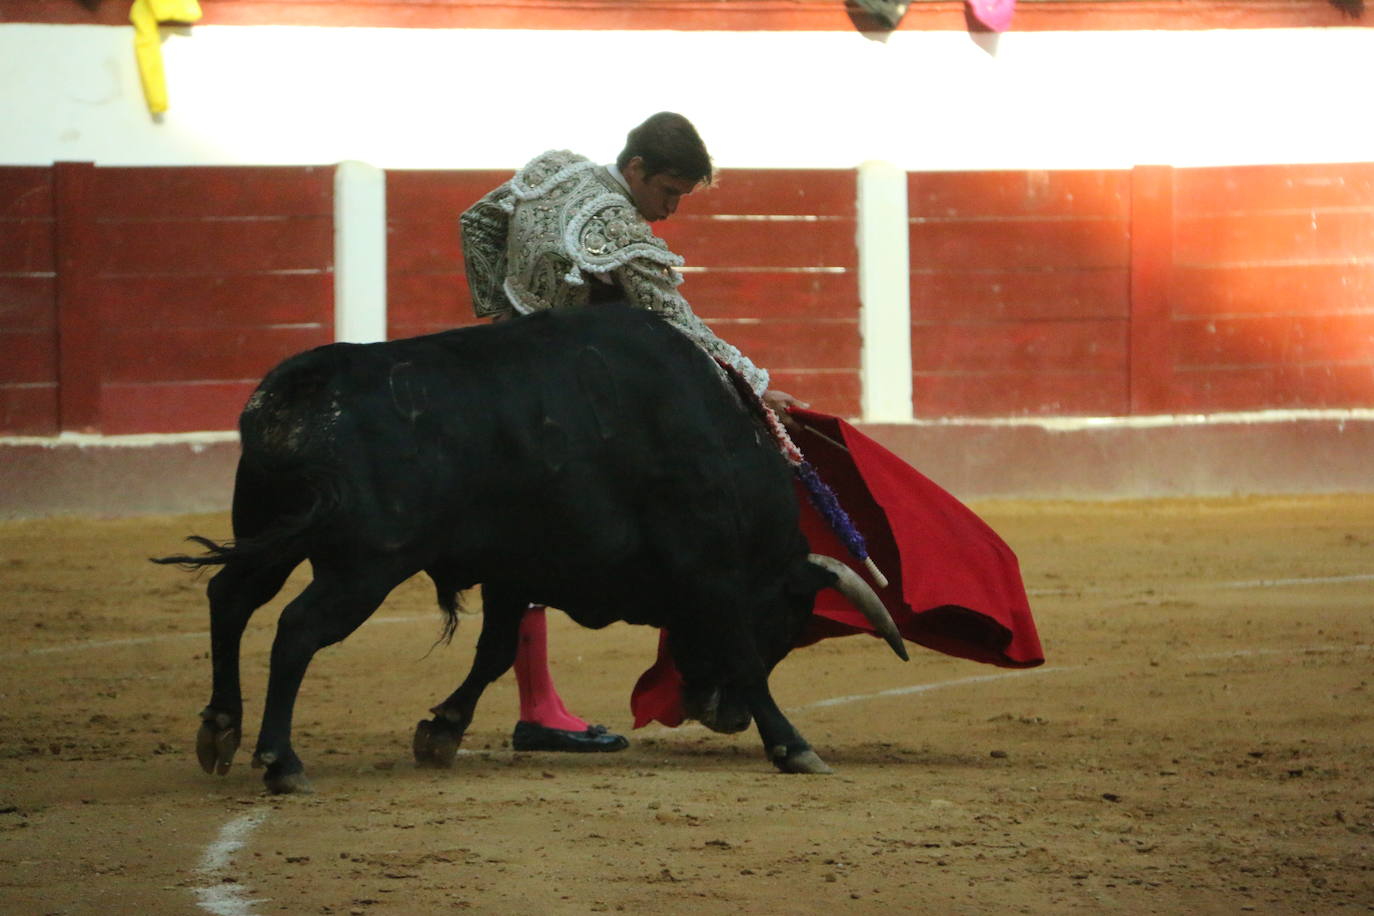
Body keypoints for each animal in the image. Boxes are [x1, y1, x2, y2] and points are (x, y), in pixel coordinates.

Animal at [155, 307, 906, 796]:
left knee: (231, 599)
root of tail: (298, 389)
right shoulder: (712, 571)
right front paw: (793, 747)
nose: (724, 717)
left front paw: (442, 732)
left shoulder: (514, 570)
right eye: (786, 624)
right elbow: (745, 658)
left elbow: (493, 652)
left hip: (272, 532)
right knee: (296, 629)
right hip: (363, 566)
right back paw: (281, 762)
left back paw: (220, 729)